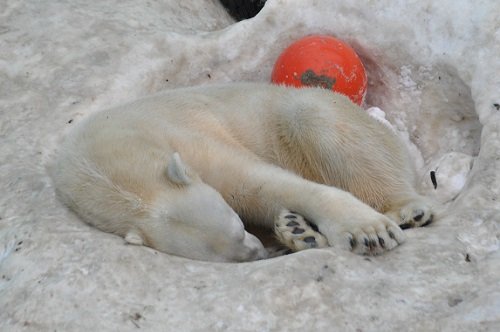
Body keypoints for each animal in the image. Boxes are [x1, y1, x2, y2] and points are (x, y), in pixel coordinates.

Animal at [51, 83, 434, 262]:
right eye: (222, 255)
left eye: (238, 225)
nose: (256, 253)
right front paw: (298, 232)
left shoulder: (184, 138)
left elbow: (258, 184)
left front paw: (368, 232)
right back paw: (295, 230)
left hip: (329, 115)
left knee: (313, 119)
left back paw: (407, 210)